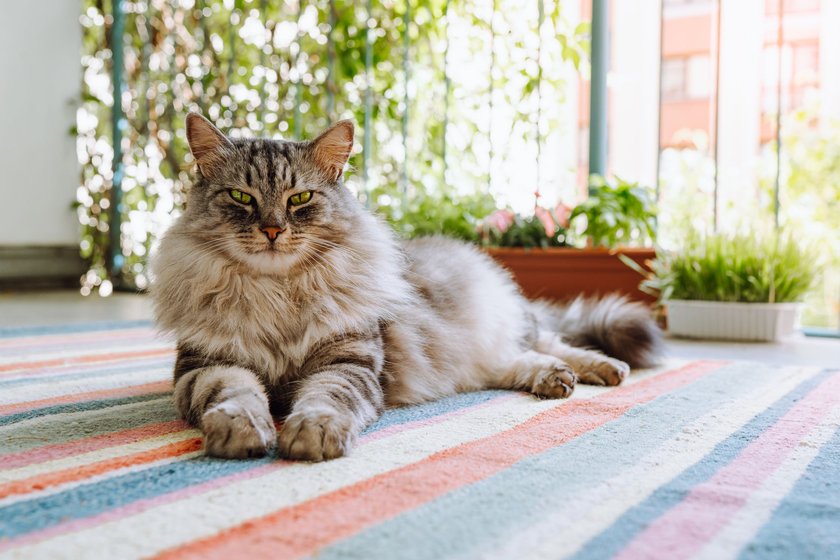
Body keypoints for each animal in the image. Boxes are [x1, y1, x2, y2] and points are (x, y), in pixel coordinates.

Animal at [151, 112, 664, 460]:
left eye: (301, 199)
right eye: (241, 197)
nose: (273, 230)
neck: (276, 293)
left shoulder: (348, 362)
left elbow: (324, 400)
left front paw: (312, 435)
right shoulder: (209, 365)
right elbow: (236, 395)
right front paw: (240, 431)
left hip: (509, 326)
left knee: (552, 342)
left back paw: (599, 369)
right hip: (475, 359)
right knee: (515, 363)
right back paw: (554, 379)